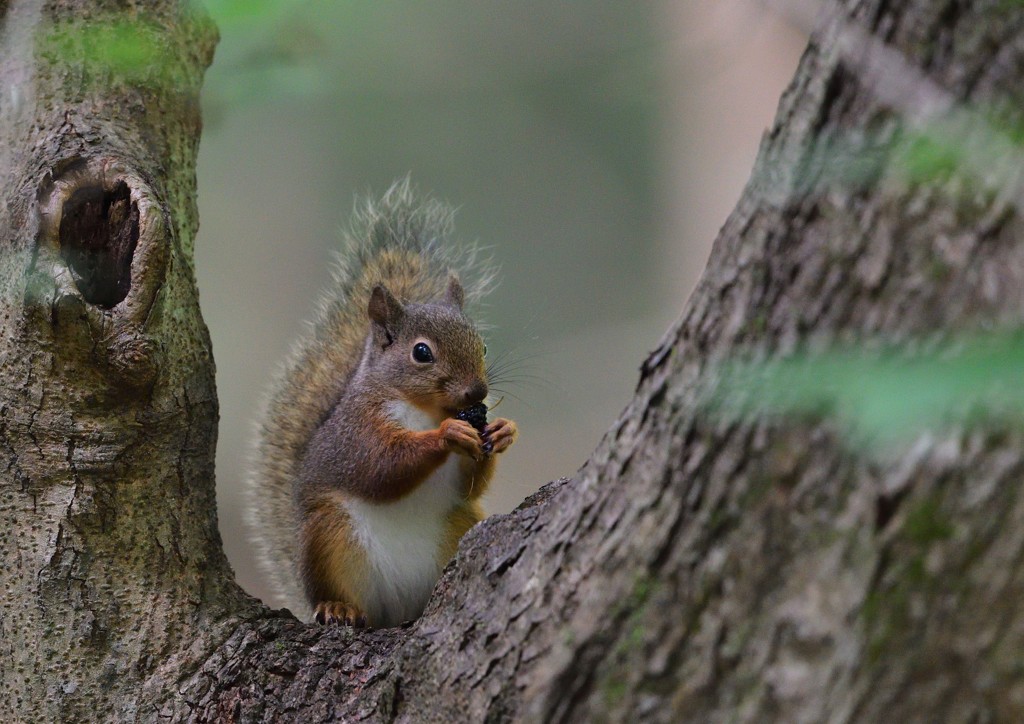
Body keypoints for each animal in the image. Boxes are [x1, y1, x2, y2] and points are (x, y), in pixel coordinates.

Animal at [246, 181, 516, 626]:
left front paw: (503, 430)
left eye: (484, 346)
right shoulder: (356, 430)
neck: (423, 409)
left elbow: (469, 484)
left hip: (457, 524)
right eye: (421, 352)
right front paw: (447, 434)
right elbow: (380, 466)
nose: (477, 395)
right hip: (330, 535)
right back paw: (336, 606)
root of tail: (398, 610)